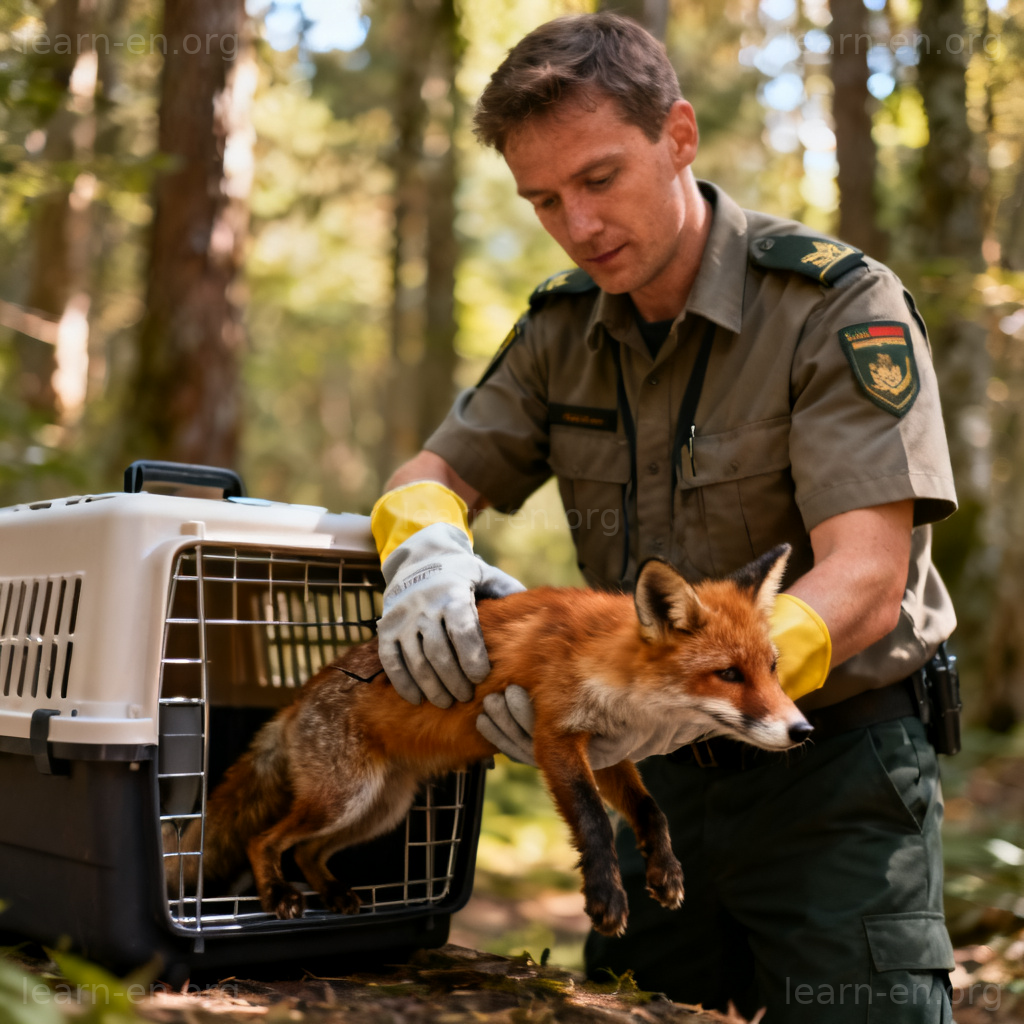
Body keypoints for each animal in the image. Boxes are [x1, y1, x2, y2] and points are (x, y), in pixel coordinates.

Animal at [164, 544, 812, 937]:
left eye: (773, 668)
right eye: (728, 674)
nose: (803, 730)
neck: (609, 669)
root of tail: (299, 697)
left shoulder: (609, 751)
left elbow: (652, 813)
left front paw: (667, 873)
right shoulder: (555, 738)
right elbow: (595, 823)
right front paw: (606, 898)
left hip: (378, 809)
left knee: (308, 851)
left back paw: (336, 894)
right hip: (343, 798)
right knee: (265, 841)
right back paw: (278, 894)